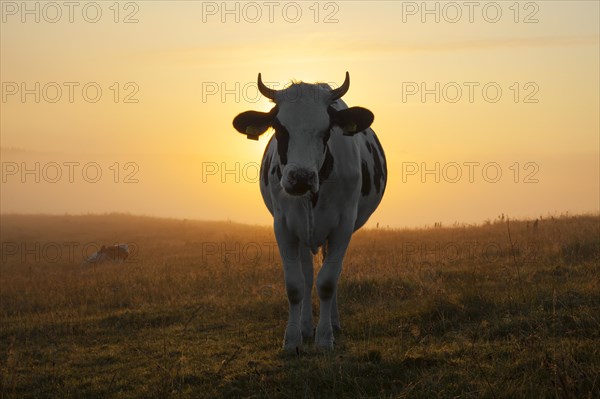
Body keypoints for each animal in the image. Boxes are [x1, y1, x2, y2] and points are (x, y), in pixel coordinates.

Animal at [232, 73, 386, 352]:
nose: (301, 177)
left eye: (326, 131)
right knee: (307, 275)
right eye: (279, 129)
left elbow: (328, 282)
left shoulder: (343, 226)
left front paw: (324, 338)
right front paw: (292, 339)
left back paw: (333, 323)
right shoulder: (283, 226)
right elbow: (295, 284)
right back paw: (305, 327)